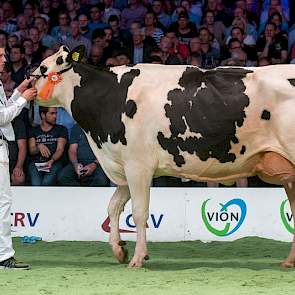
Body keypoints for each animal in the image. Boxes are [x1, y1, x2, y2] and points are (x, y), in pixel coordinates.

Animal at [33, 45, 295, 268]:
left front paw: (138, 258)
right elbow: (113, 207)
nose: (28, 78)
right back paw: (289, 261)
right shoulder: (125, 165)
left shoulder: (138, 165)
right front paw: (119, 249)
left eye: (44, 68)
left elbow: (139, 212)